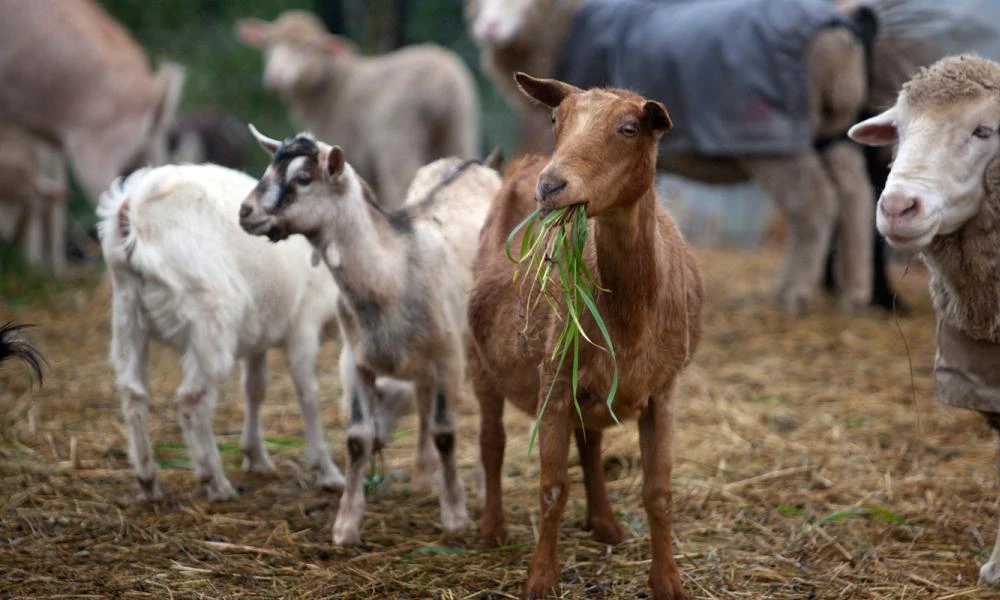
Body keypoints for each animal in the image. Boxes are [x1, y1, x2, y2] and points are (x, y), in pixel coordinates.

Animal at [236, 8, 482, 211]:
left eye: (308, 48)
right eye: (269, 44)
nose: (275, 77)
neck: (334, 87)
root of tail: (441, 84)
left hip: (398, 139)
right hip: (457, 127)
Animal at [238, 127, 496, 548]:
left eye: (303, 178)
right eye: (268, 168)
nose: (245, 212)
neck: (391, 273)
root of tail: (471, 163)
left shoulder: (447, 356)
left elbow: (445, 432)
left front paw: (456, 517)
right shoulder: (355, 360)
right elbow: (358, 438)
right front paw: (346, 527)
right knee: (423, 401)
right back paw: (422, 479)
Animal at [468, 75, 704, 600]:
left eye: (630, 127)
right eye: (557, 119)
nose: (550, 186)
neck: (631, 315)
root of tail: (522, 165)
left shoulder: (664, 389)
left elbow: (659, 492)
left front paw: (668, 581)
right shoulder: (553, 381)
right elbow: (552, 488)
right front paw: (540, 579)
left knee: (590, 446)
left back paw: (605, 524)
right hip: (480, 360)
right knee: (492, 441)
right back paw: (492, 530)